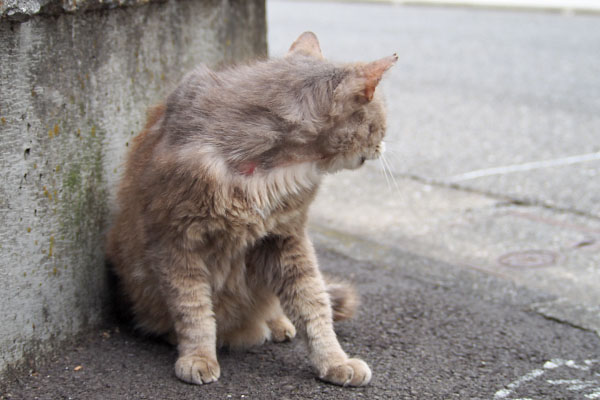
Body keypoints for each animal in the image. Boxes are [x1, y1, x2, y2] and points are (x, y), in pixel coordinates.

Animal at [106, 32, 398, 388]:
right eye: (382, 122)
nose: (384, 145)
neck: (265, 167)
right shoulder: (175, 243)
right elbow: (194, 310)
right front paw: (198, 357)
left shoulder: (286, 239)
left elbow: (313, 304)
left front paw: (334, 361)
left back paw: (278, 324)